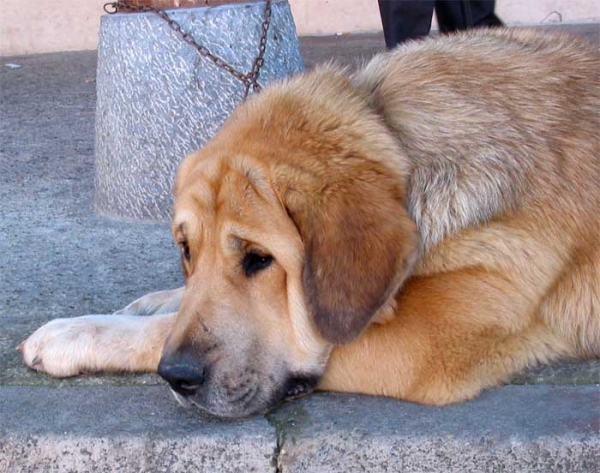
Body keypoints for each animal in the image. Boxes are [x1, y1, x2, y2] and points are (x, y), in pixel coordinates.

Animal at [21, 28, 596, 416]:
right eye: (186, 249)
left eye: (260, 259)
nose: (177, 376)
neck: (398, 136)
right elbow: (176, 303)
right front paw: (153, 299)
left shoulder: (425, 341)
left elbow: (160, 330)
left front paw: (73, 335)